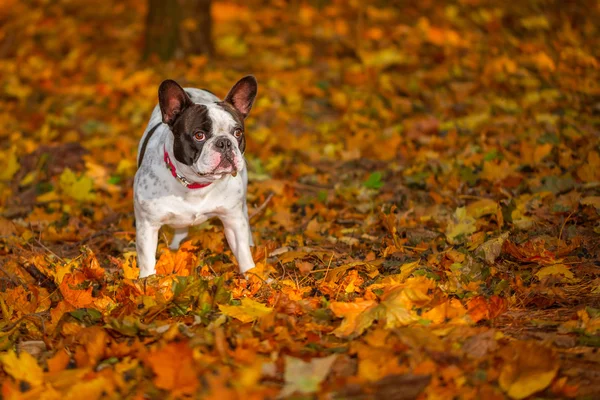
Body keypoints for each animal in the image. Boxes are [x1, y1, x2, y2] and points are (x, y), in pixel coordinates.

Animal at [134, 75, 258, 278]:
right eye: (199, 135)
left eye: (238, 132)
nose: (224, 142)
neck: (195, 183)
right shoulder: (147, 226)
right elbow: (147, 262)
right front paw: (147, 282)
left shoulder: (232, 219)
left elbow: (243, 253)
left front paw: (254, 277)